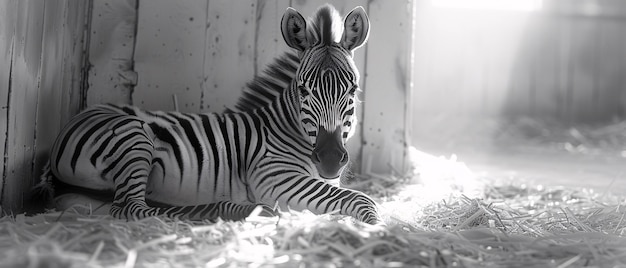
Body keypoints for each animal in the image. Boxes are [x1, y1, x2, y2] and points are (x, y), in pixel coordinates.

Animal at [34, 5, 380, 225]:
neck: (287, 130)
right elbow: (362, 199)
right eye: (304, 91)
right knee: (131, 209)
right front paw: (375, 226)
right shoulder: (275, 178)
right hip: (135, 137)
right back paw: (234, 210)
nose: (331, 160)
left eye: (353, 90)